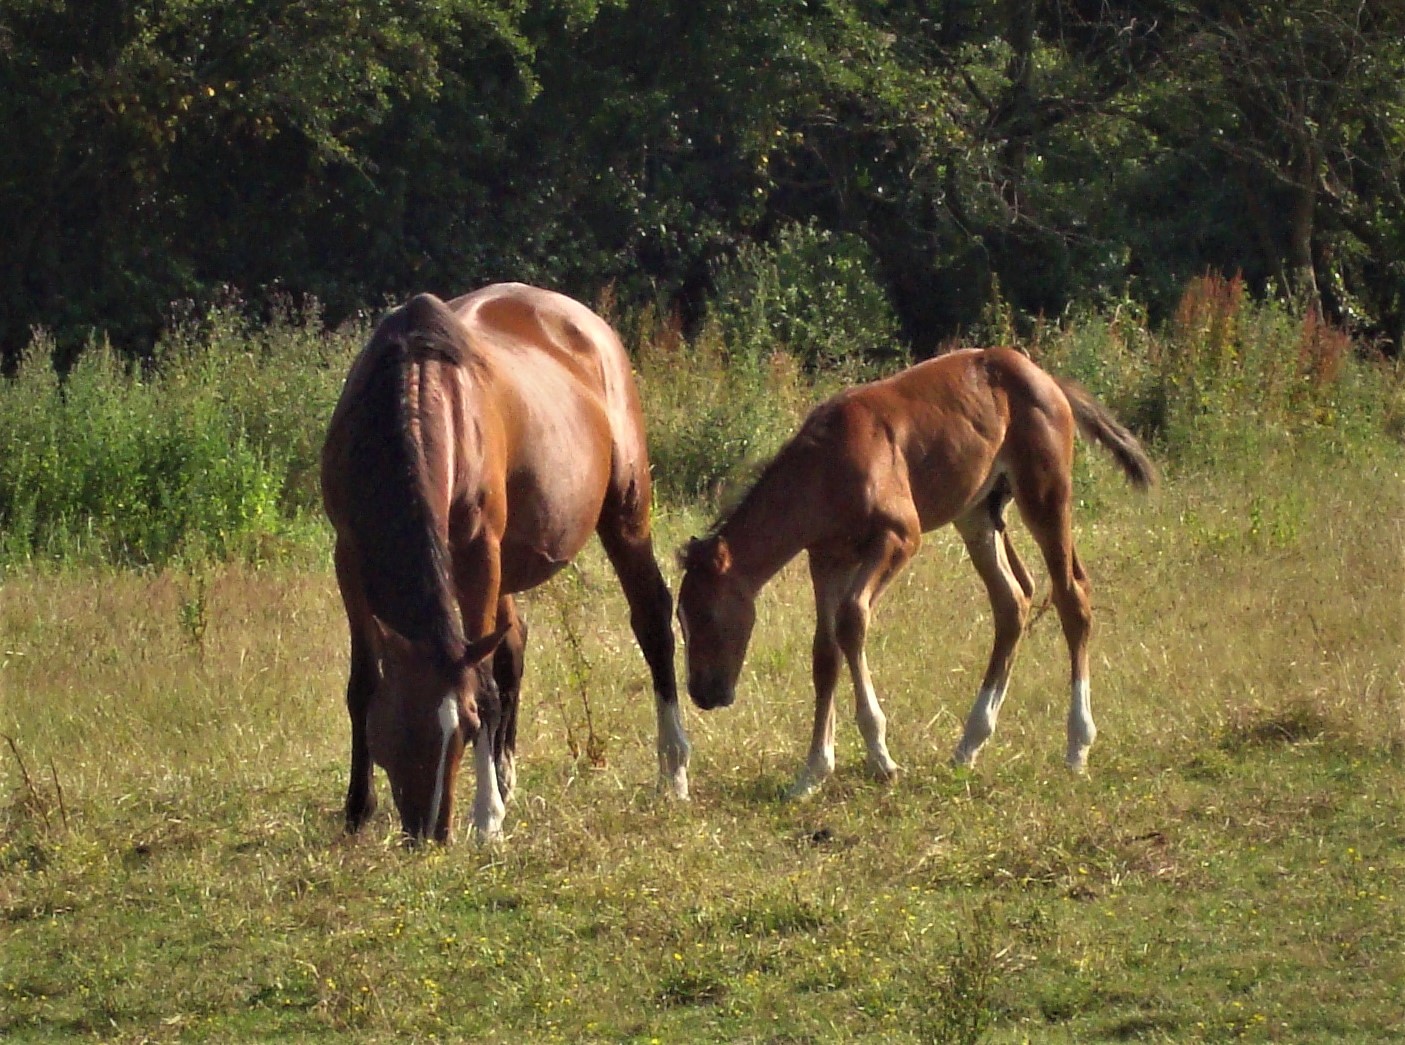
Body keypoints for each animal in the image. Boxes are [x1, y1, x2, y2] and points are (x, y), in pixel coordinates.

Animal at [320, 283, 691, 842]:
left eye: (466, 726)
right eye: (400, 724)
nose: (431, 831)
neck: (415, 389)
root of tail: (589, 325)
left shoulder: (477, 550)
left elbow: (487, 683)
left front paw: (486, 818)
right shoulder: (349, 555)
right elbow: (362, 683)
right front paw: (356, 810)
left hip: (624, 510)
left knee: (651, 618)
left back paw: (673, 770)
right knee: (512, 643)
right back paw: (505, 774)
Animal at [677, 346, 1152, 797]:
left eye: (706, 615)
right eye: (680, 617)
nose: (703, 692)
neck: (824, 468)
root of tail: (1047, 378)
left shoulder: (900, 536)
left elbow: (851, 621)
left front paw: (881, 759)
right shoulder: (826, 558)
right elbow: (825, 650)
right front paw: (811, 773)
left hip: (1046, 494)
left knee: (1072, 597)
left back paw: (1076, 747)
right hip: (978, 514)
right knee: (1012, 600)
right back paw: (969, 745)